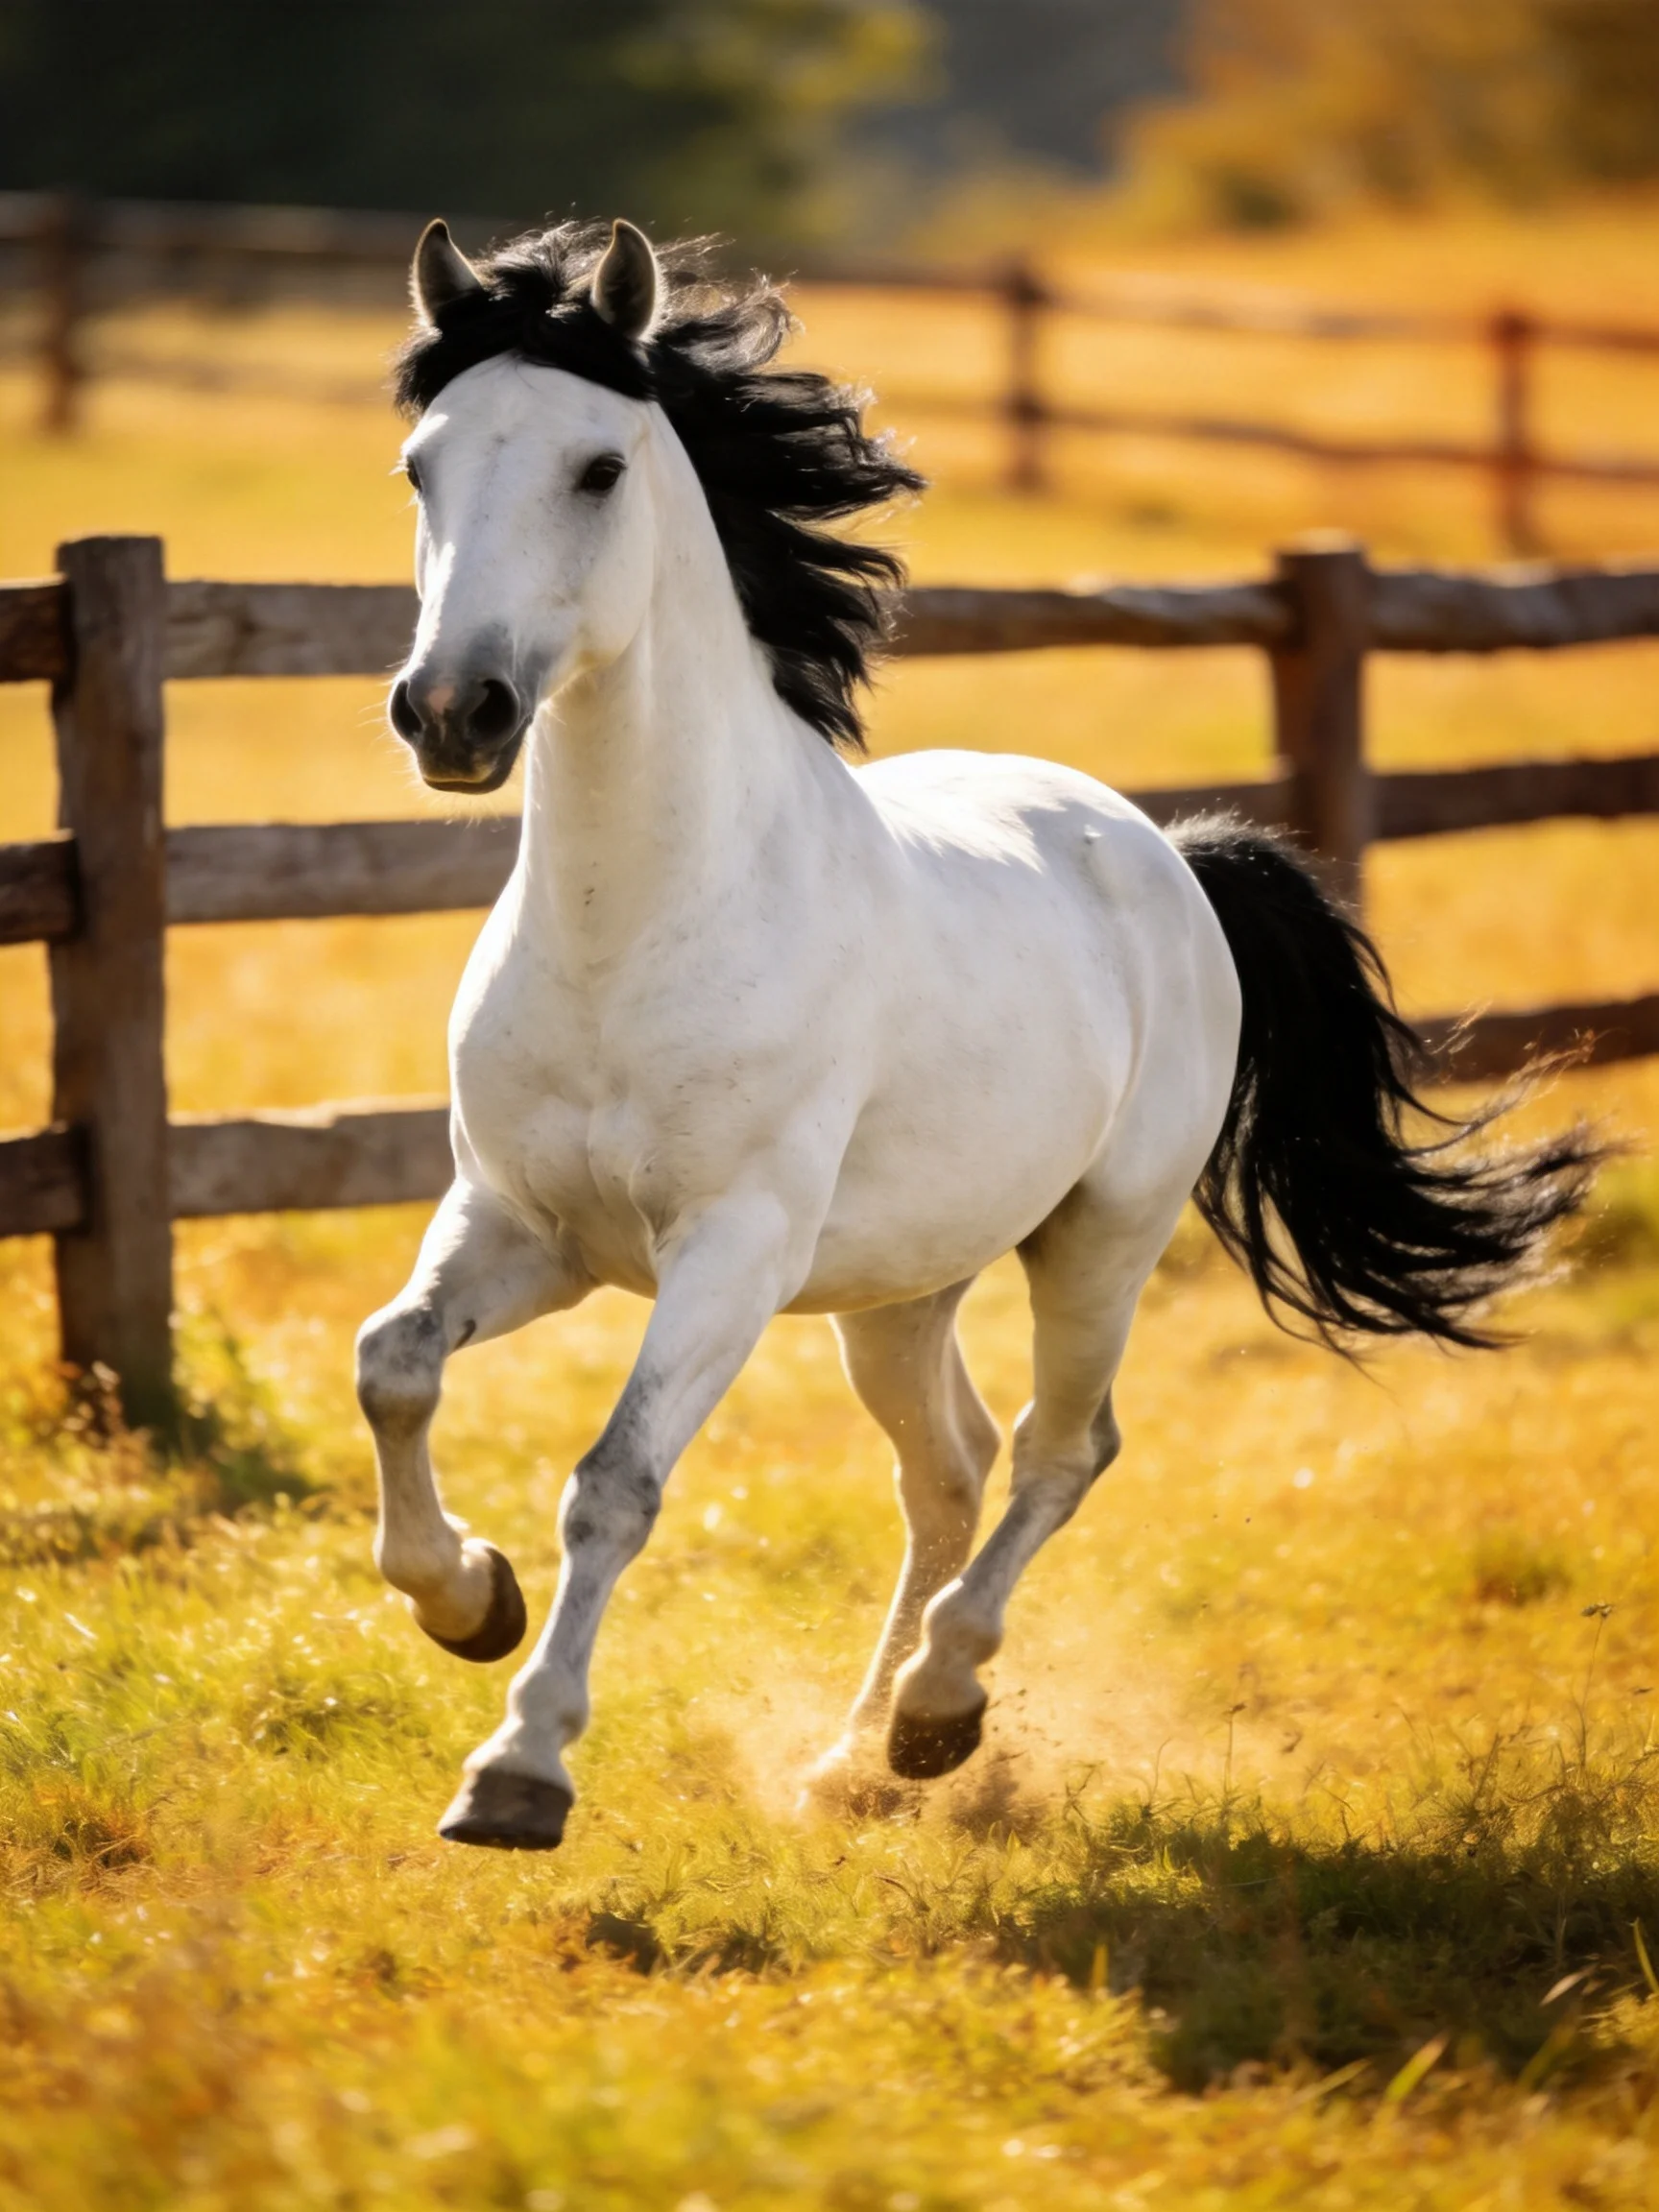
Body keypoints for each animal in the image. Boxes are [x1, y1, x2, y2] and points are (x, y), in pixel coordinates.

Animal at [354, 216, 1597, 1851]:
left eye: (599, 468)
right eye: (421, 465)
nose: (455, 713)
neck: (641, 921)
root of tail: (1167, 854)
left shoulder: (729, 1253)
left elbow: (614, 1480)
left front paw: (519, 1768)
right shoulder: (524, 1227)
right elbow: (393, 1363)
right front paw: (467, 1602)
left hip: (1100, 1239)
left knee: (1062, 1451)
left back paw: (938, 1716)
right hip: (899, 1287)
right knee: (946, 1473)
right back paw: (850, 1760)